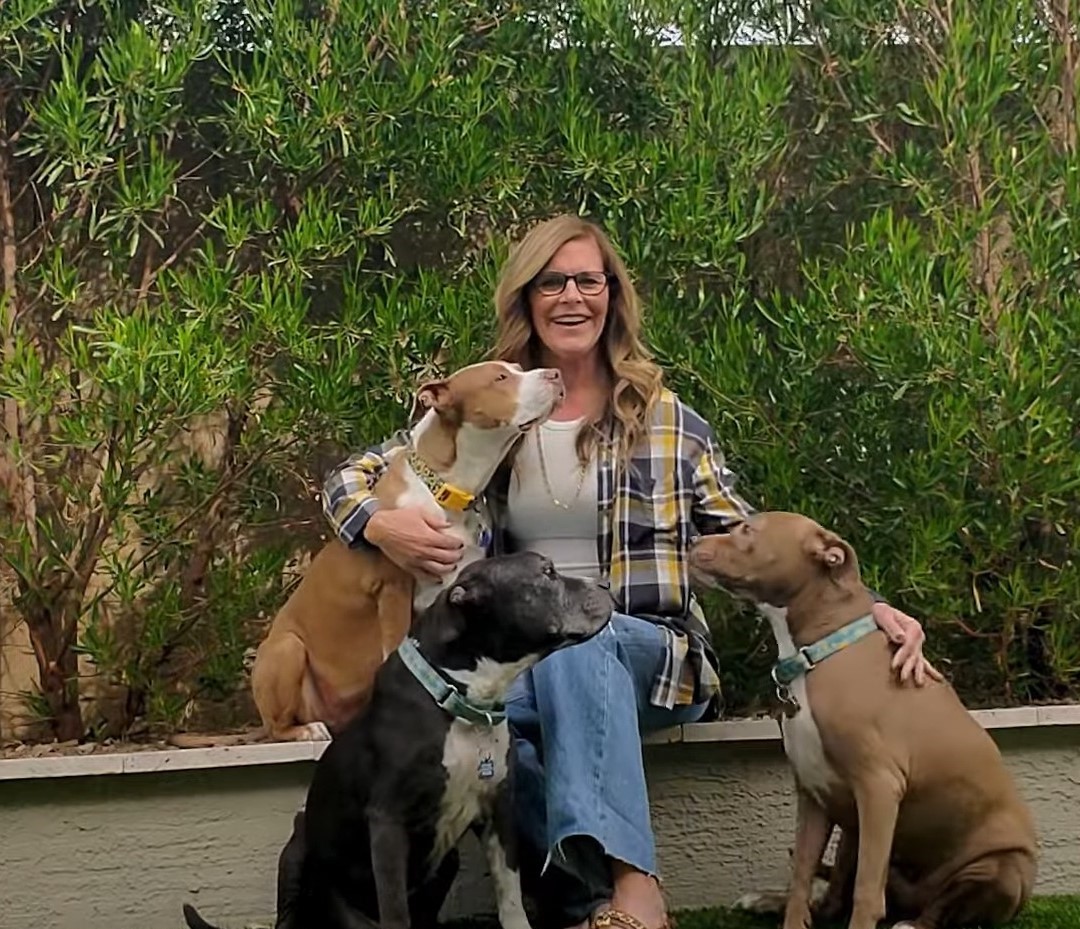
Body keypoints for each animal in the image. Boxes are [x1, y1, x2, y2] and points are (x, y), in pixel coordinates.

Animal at [181, 550, 613, 928]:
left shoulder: (497, 812)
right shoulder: (388, 822)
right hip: (298, 852)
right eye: (547, 573)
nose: (607, 584)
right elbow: (394, 910)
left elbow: (510, 898)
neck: (458, 699)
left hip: (446, 861)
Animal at [247, 358, 565, 743]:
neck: (445, 487)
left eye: (518, 368)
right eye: (500, 378)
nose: (556, 374)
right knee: (276, 724)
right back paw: (305, 730)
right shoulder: (393, 589)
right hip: (286, 649)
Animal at [691, 512, 1036, 928]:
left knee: (938, 907)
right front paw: (791, 915)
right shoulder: (813, 792)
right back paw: (768, 901)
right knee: (835, 895)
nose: (691, 541)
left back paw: (912, 923)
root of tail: (913, 898)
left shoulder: (879, 788)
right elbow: (802, 872)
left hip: (1002, 867)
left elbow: (866, 891)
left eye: (747, 530)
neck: (815, 652)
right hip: (851, 828)